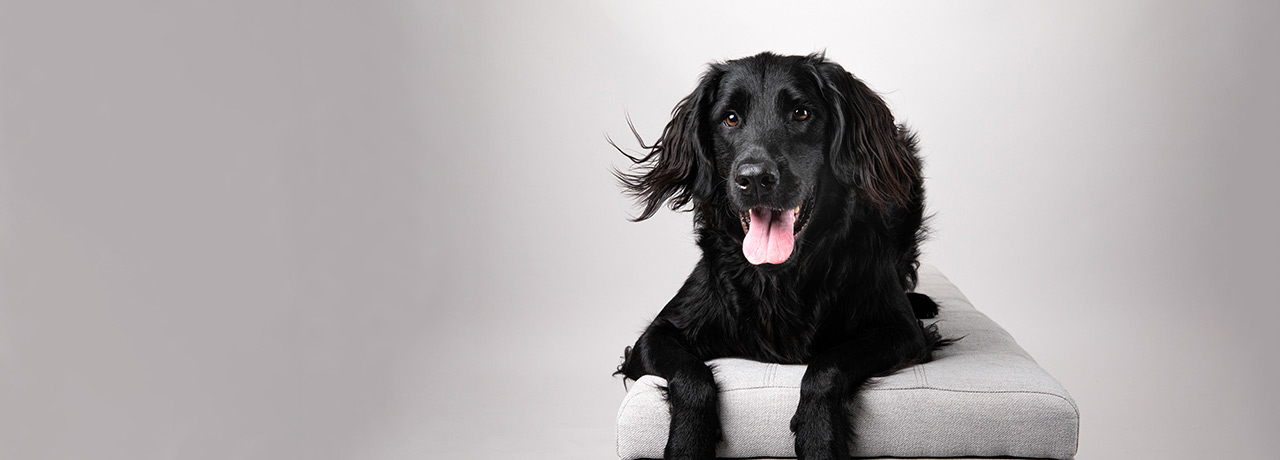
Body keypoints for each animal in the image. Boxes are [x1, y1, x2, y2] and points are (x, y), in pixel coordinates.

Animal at [609, 52, 952, 458]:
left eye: (801, 113)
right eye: (730, 118)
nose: (755, 178)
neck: (779, 276)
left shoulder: (900, 331)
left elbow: (827, 366)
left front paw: (818, 439)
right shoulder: (656, 335)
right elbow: (692, 376)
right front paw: (686, 446)